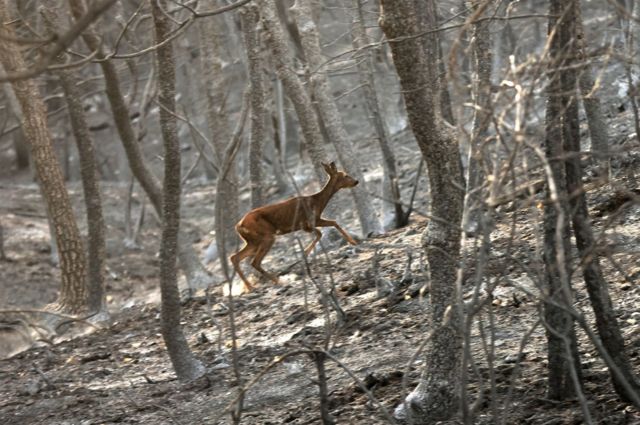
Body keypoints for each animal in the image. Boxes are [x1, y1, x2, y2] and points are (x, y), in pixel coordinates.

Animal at [230, 160, 360, 292]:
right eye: (345, 175)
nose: (356, 181)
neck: (317, 202)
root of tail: (238, 226)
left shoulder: (314, 221)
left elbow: (332, 224)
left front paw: (353, 242)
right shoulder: (306, 223)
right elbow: (322, 231)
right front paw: (305, 252)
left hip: (253, 241)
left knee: (235, 257)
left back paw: (250, 286)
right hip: (266, 236)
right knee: (254, 262)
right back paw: (277, 281)